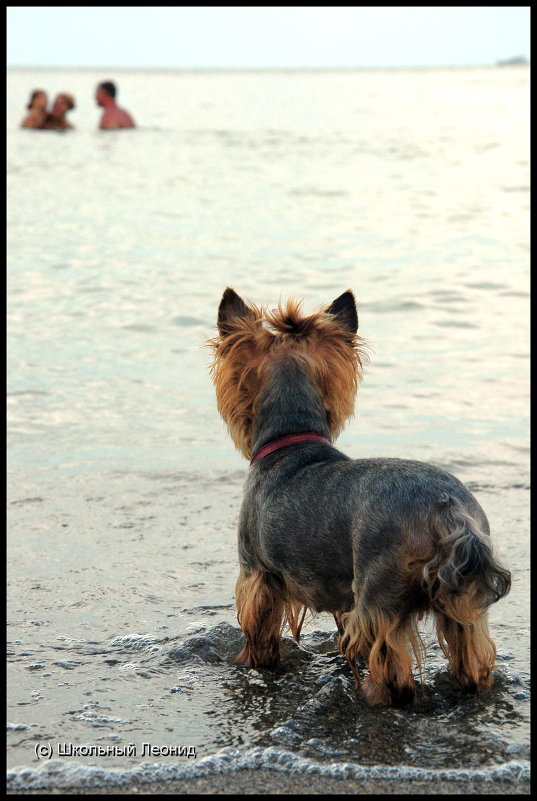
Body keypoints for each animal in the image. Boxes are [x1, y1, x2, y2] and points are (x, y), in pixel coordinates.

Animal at [206, 290, 510, 708]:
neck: (293, 440)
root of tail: (447, 511)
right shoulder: (338, 593)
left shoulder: (257, 576)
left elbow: (259, 635)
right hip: (460, 601)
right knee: (471, 659)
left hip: (380, 591)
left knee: (392, 672)